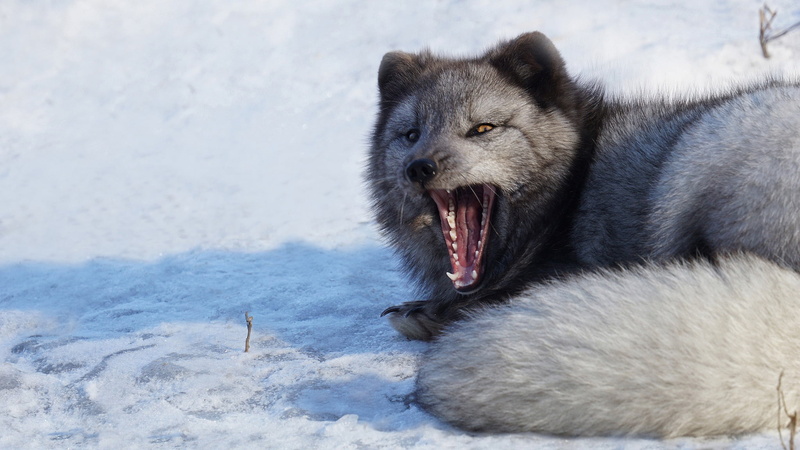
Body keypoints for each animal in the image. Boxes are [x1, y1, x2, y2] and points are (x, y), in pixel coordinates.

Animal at [366, 31, 800, 437]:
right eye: (411, 134)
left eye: (482, 128)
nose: (419, 167)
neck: (565, 198)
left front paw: (430, 314)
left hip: (698, 154)